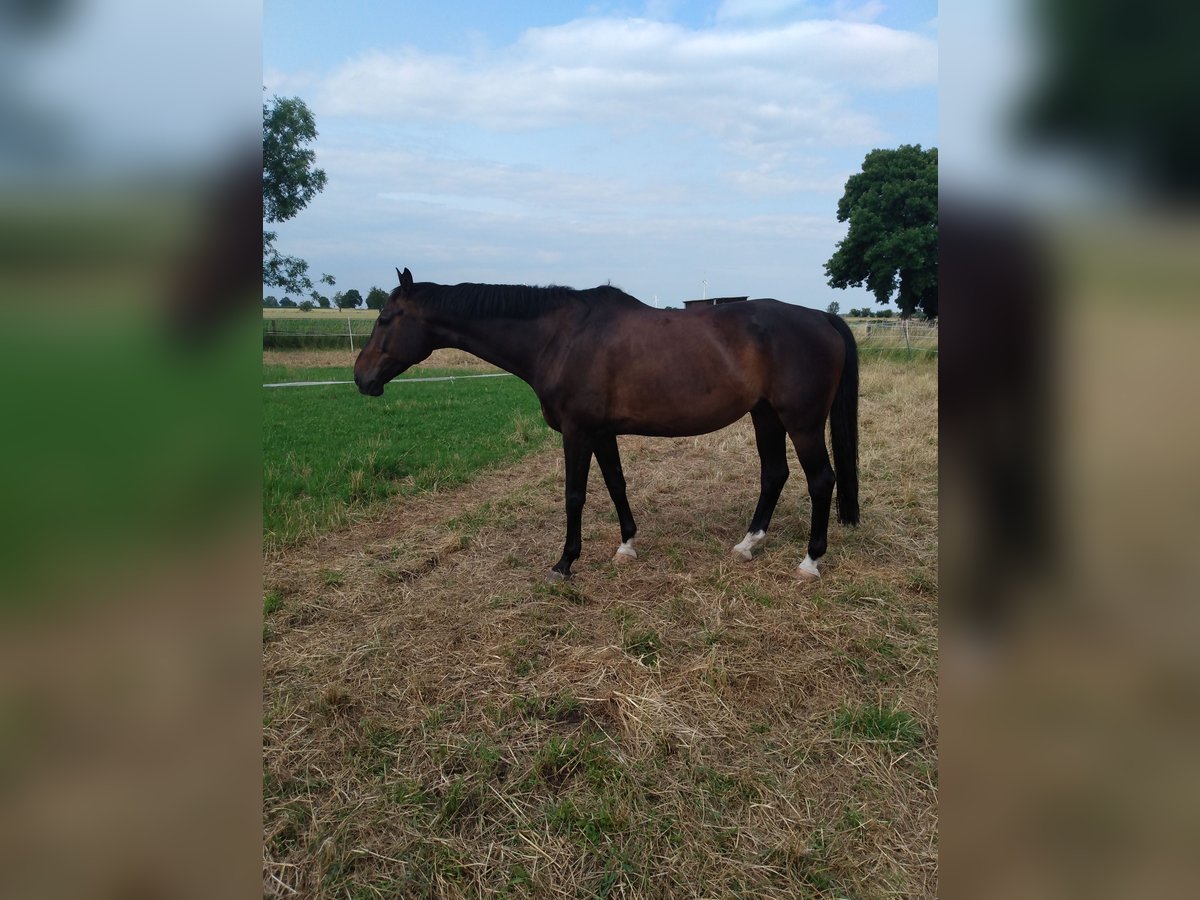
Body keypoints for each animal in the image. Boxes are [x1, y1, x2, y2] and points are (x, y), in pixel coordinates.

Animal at [350, 267, 859, 580]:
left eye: (386, 318)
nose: (361, 378)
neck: (560, 337)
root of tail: (823, 317)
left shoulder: (578, 432)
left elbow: (575, 495)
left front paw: (564, 563)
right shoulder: (602, 432)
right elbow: (616, 482)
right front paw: (626, 545)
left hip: (802, 423)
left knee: (821, 480)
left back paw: (810, 560)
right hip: (765, 415)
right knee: (774, 474)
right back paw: (748, 544)